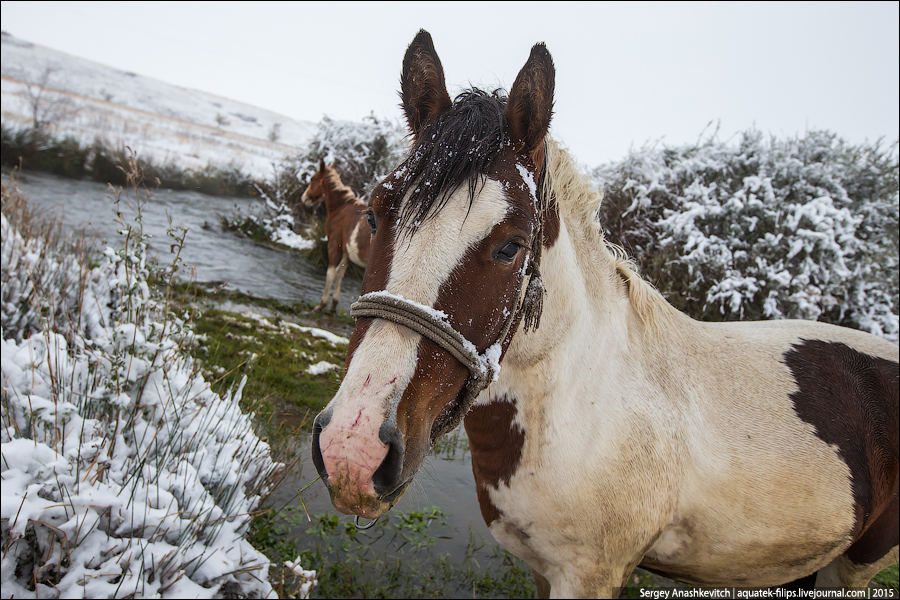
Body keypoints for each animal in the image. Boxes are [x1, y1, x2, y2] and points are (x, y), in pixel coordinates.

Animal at [302, 161, 370, 314]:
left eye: (312, 179)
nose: (304, 198)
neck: (341, 208)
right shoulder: (346, 252)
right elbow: (339, 274)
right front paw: (333, 305)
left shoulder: (333, 246)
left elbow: (330, 274)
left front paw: (321, 305)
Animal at [312, 30, 900, 596]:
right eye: (374, 213)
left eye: (511, 246)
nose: (352, 451)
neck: (586, 406)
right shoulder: (543, 569)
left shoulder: (590, 574)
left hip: (856, 564)